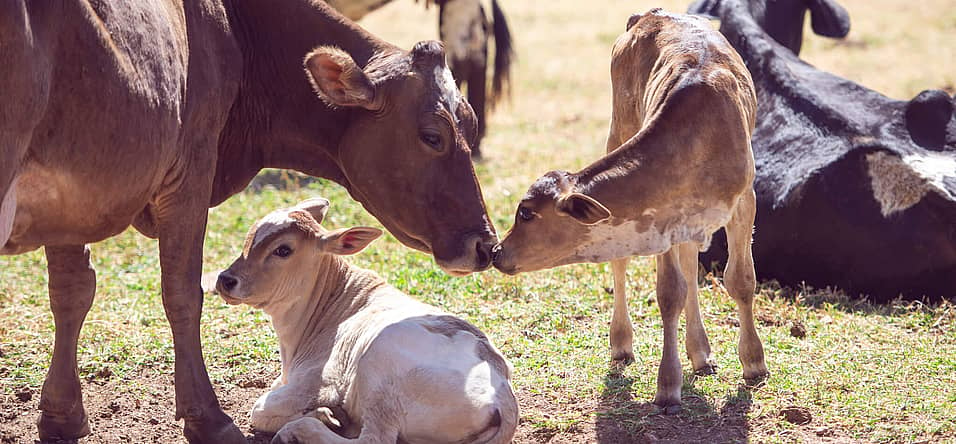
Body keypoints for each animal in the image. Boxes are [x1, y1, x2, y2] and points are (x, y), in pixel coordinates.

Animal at [217, 199, 520, 444]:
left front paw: (323, 415)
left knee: (374, 438)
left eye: (283, 250)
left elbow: (259, 411)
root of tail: (504, 394)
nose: (225, 279)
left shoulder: (318, 382)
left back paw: (300, 429)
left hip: (378, 371)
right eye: (249, 238)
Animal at [492, 9, 768, 412]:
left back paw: (701, 354)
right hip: (617, 127)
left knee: (690, 265)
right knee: (626, 264)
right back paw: (624, 342)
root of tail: (650, 14)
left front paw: (753, 363)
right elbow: (669, 292)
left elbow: (741, 280)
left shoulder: (744, 200)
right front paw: (668, 385)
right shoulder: (662, 217)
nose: (496, 251)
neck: (698, 138)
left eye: (526, 212)